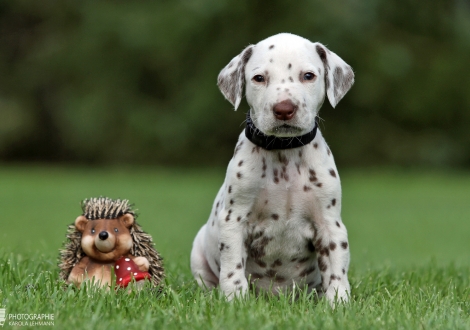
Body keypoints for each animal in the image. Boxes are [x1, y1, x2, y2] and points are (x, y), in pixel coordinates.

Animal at [189, 32, 354, 304]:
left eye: (308, 76)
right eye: (259, 78)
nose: (284, 109)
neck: (283, 152)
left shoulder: (330, 224)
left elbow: (335, 269)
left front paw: (338, 303)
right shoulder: (234, 220)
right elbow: (232, 267)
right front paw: (235, 301)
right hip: (198, 252)